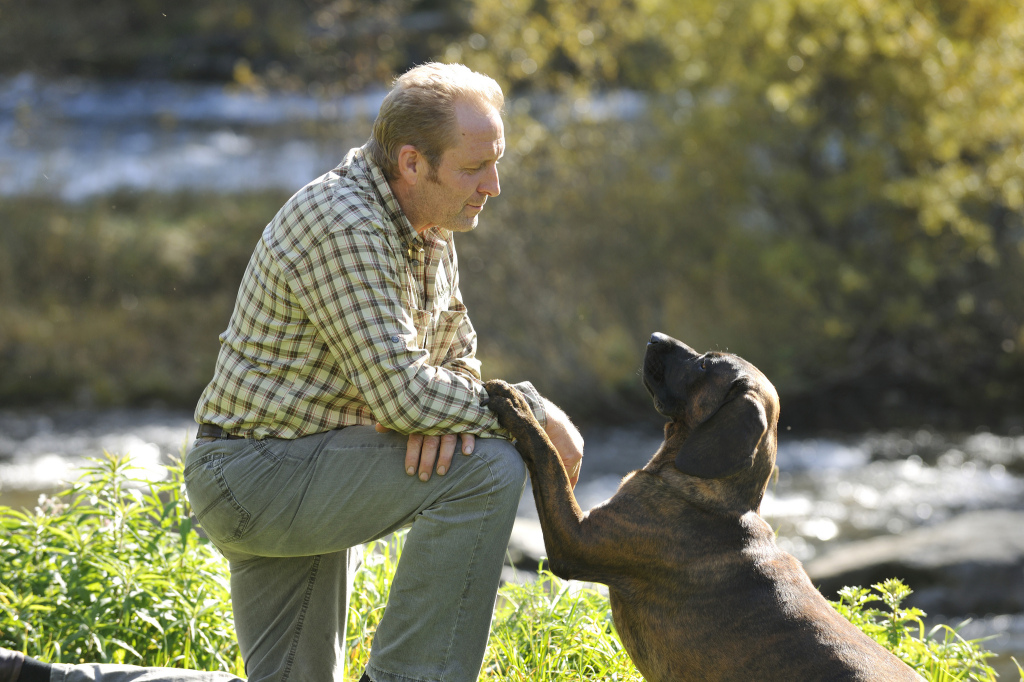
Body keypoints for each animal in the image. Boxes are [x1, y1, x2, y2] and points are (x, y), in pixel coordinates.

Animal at [483, 331, 925, 675]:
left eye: (704, 366)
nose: (654, 336)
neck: (711, 497)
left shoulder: (574, 540)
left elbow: (548, 456)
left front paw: (519, 407)